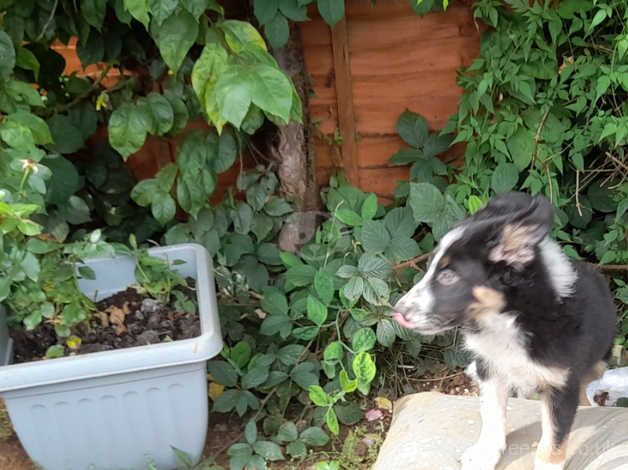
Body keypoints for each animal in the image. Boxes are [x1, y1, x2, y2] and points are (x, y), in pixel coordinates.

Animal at [392, 192, 612, 470]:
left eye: (448, 277)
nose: (396, 313)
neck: (509, 321)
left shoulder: (561, 386)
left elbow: (553, 440)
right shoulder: (491, 366)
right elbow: (492, 414)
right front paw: (484, 454)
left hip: (599, 361)